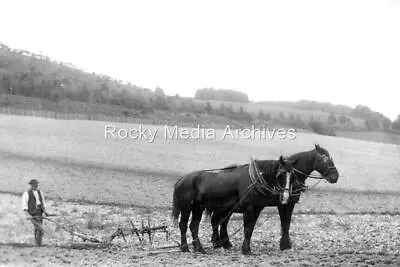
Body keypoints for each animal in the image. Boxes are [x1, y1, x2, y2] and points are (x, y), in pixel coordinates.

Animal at [170, 156, 298, 254]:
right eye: (281, 174)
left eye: (293, 175)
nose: (286, 196)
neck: (254, 180)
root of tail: (182, 179)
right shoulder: (248, 208)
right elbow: (247, 229)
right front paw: (246, 250)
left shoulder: (256, 209)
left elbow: (250, 228)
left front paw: (246, 248)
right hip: (186, 208)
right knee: (183, 225)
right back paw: (185, 247)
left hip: (198, 208)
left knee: (194, 226)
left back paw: (199, 248)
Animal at [208, 144, 340, 251]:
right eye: (325, 158)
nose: (335, 176)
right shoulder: (285, 204)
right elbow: (285, 223)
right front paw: (285, 244)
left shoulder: (287, 204)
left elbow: (286, 223)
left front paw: (285, 244)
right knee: (217, 220)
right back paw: (218, 242)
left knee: (221, 221)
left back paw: (224, 243)